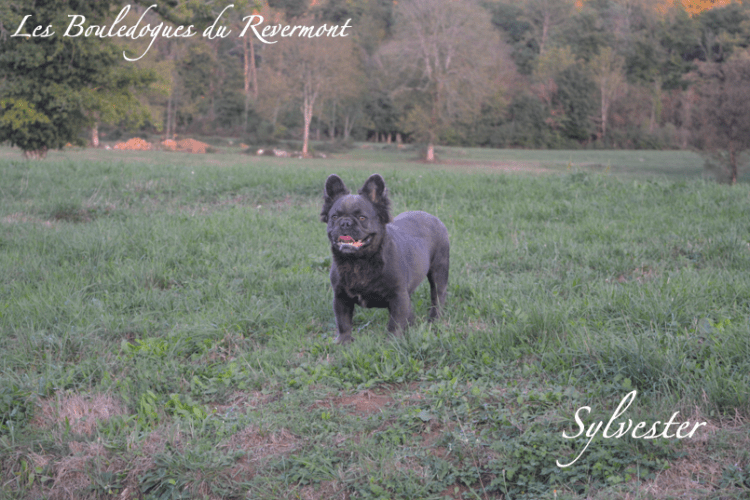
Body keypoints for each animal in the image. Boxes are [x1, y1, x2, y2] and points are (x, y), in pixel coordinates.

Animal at [321, 173, 450, 344]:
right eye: (334, 217)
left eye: (362, 217)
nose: (345, 223)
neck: (358, 261)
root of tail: (434, 218)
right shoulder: (341, 297)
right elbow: (343, 321)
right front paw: (344, 341)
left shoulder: (398, 296)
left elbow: (395, 322)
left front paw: (392, 342)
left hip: (439, 273)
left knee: (438, 298)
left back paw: (434, 320)